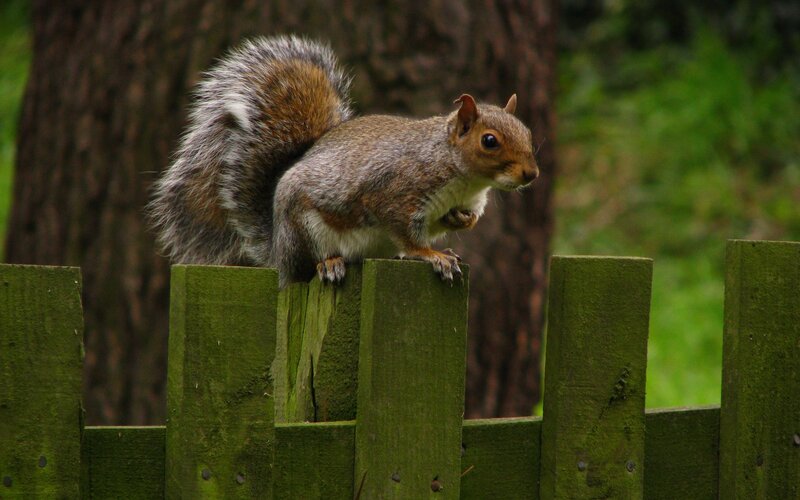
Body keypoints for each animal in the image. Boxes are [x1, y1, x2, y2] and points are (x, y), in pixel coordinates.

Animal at [149, 35, 538, 288]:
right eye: (489, 141)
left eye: (528, 133)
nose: (531, 174)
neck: (463, 177)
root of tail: (278, 250)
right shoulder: (395, 192)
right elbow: (406, 234)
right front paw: (432, 255)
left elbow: (459, 219)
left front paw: (462, 221)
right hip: (305, 230)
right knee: (308, 266)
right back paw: (330, 263)